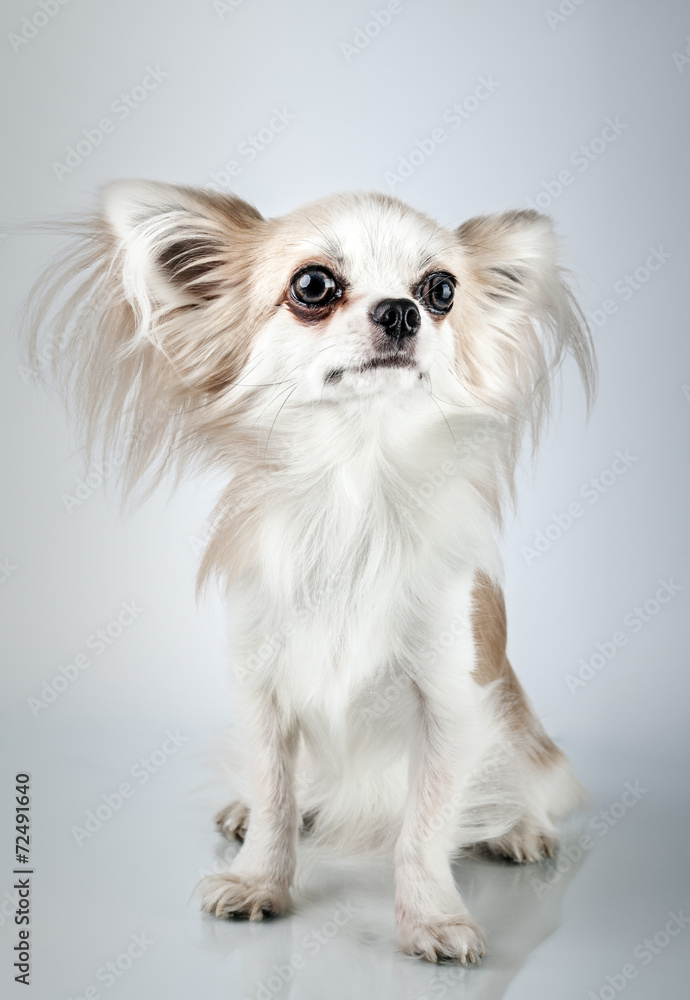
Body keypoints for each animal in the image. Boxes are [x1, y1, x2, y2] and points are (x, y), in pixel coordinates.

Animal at [26, 184, 592, 964]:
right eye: (314, 286)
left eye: (441, 291)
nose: (402, 310)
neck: (352, 487)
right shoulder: (262, 685)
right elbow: (274, 794)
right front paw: (259, 878)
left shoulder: (449, 702)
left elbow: (425, 827)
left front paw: (431, 917)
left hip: (524, 742)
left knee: (514, 786)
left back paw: (516, 826)